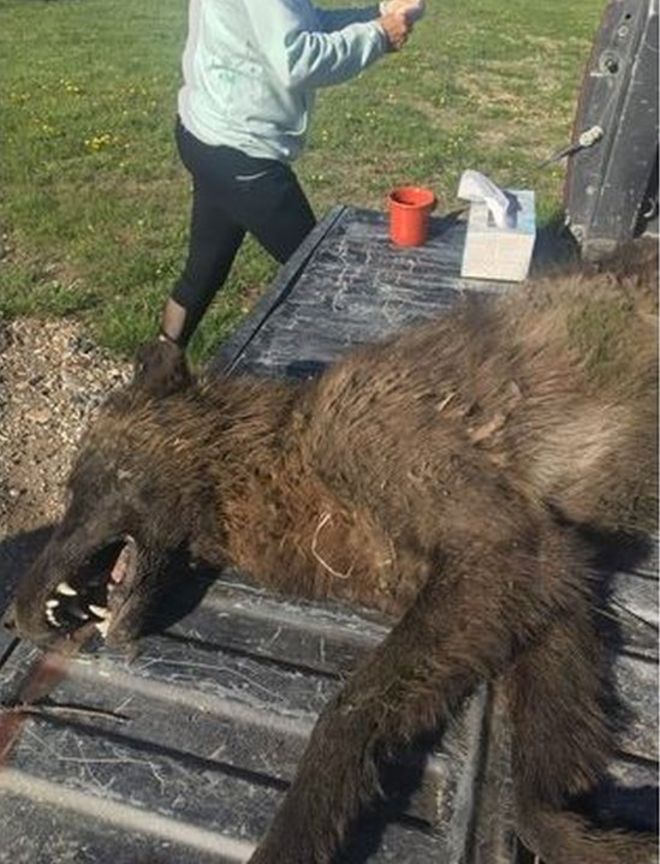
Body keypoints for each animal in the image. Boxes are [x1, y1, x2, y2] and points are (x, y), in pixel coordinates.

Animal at [12, 242, 659, 863]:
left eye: (78, 480)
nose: (17, 614)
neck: (283, 464)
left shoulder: (506, 545)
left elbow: (343, 713)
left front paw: (294, 838)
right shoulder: (553, 582)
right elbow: (535, 803)